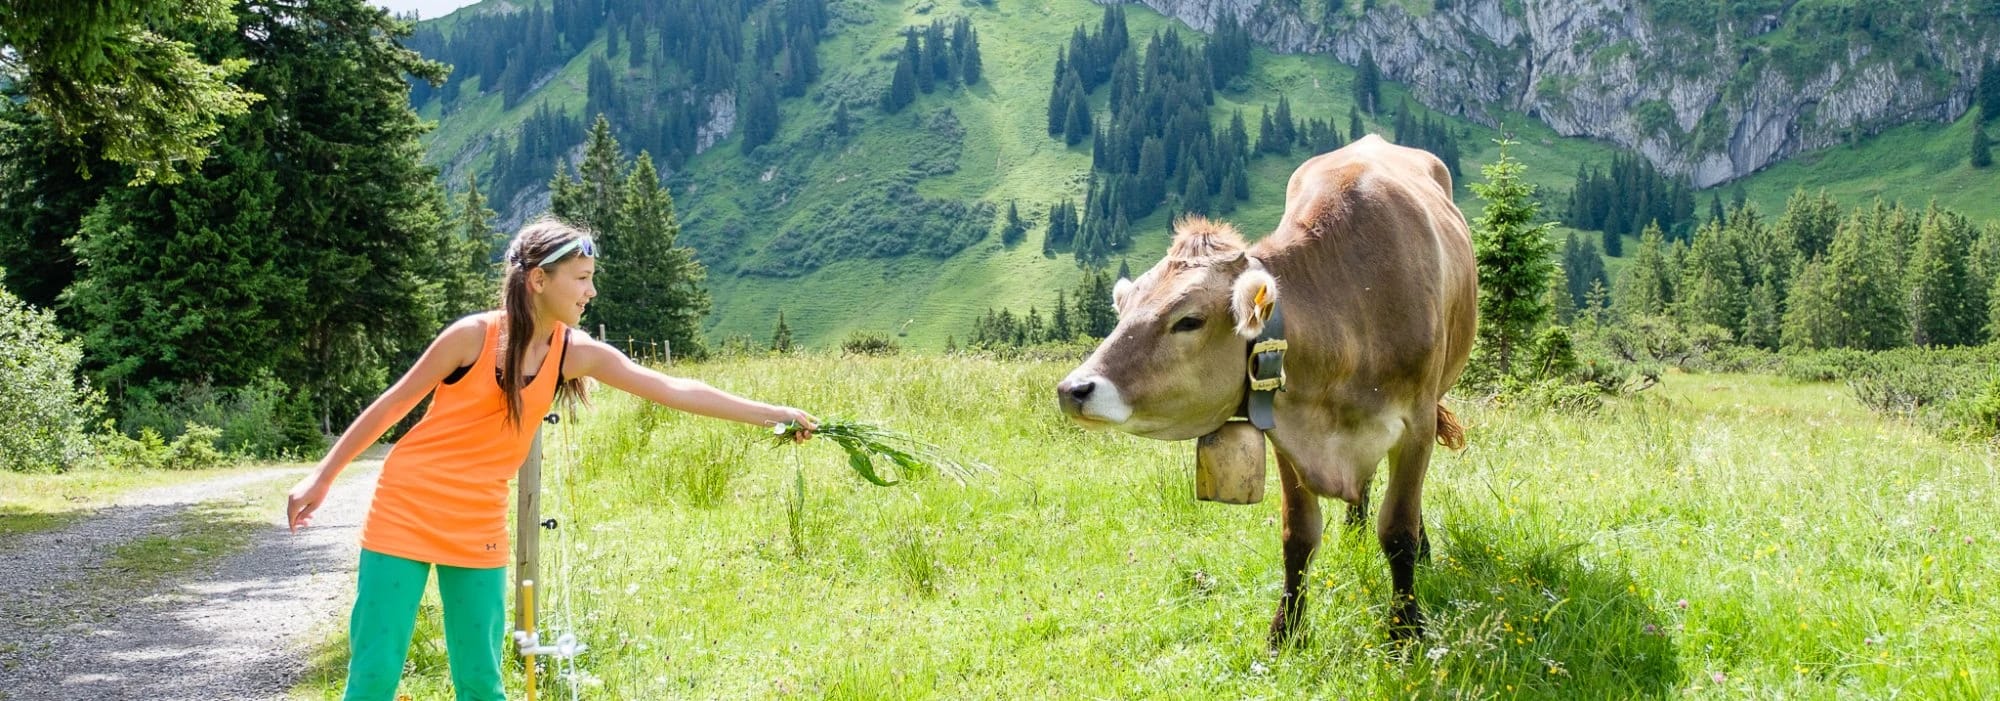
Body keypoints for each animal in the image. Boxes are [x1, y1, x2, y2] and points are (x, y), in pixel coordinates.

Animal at [1056, 135, 1477, 644]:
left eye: (1189, 320)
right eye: (1126, 309)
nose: (1074, 389)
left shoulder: (1416, 424)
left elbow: (1398, 530)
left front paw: (1405, 631)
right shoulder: (1284, 428)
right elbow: (1298, 535)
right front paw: (1286, 633)